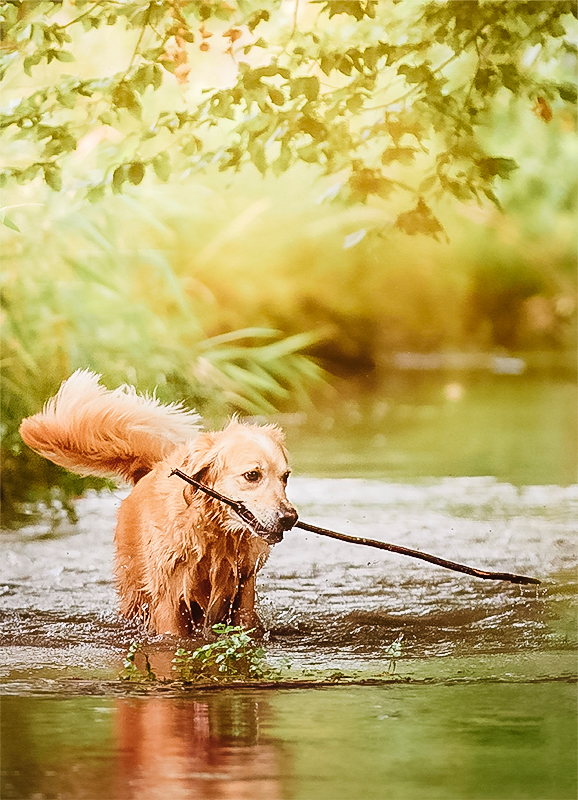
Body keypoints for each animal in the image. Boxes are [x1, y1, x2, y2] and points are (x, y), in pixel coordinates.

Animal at [19, 372, 296, 640]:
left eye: (285, 477)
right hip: (134, 586)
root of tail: (150, 469)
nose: (289, 518)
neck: (214, 532)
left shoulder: (243, 591)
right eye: (252, 475)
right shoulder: (169, 597)